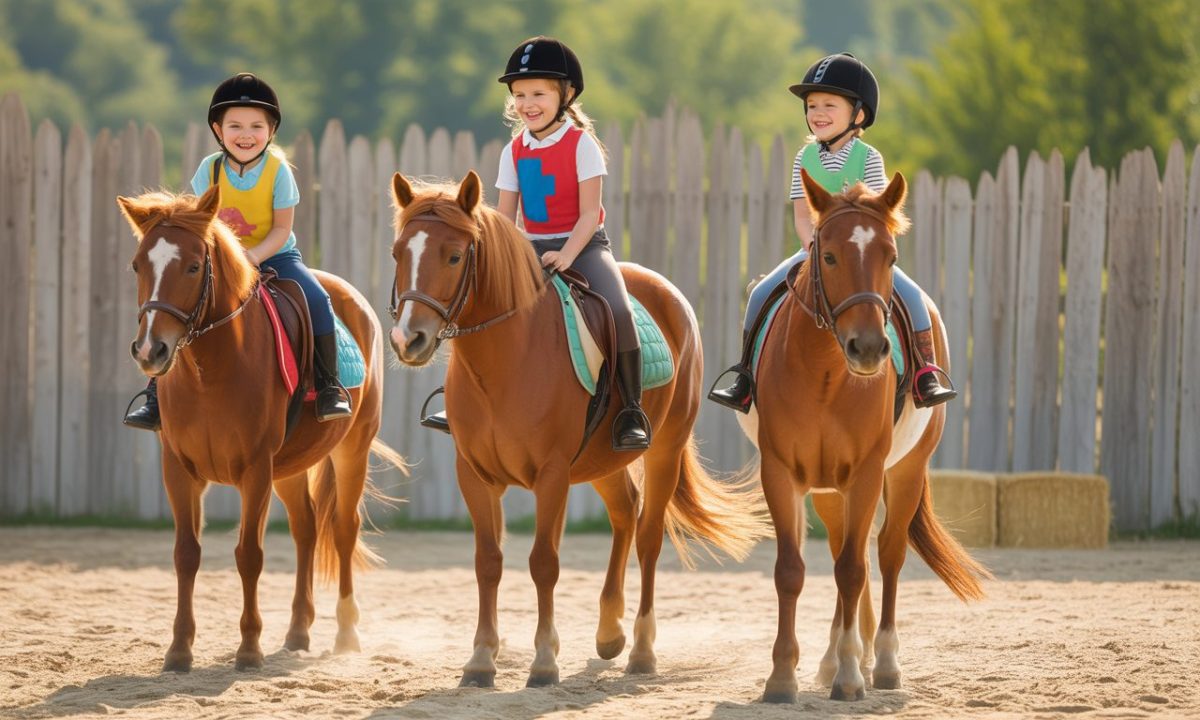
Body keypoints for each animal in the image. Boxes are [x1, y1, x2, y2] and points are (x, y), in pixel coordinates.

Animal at [117, 186, 405, 672]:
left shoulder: (255, 471)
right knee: (306, 529)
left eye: (192, 266)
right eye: (139, 265)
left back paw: (346, 633)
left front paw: (249, 649)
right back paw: (297, 631)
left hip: (351, 450)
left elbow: (249, 555)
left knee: (343, 529)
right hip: (288, 467)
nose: (151, 350)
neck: (210, 371)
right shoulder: (179, 469)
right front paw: (179, 650)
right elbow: (185, 554)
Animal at [386, 170, 770, 688]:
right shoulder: (475, 475)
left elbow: (544, 562)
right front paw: (481, 660)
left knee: (649, 536)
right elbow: (488, 562)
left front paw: (545, 661)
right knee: (625, 512)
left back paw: (641, 650)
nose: (409, 340)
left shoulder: (551, 476)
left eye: (454, 255)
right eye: (398, 253)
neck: (507, 359)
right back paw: (609, 632)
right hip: (602, 460)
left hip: (663, 450)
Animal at [740, 169, 991, 702]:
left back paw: (885, 663)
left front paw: (854, 677)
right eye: (829, 255)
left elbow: (855, 569)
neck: (824, 373)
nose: (870, 348)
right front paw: (782, 676)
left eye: (890, 257)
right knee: (843, 553)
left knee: (886, 555)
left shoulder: (867, 472)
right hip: (830, 490)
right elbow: (792, 570)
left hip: (904, 472)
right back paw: (832, 659)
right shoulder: (781, 472)